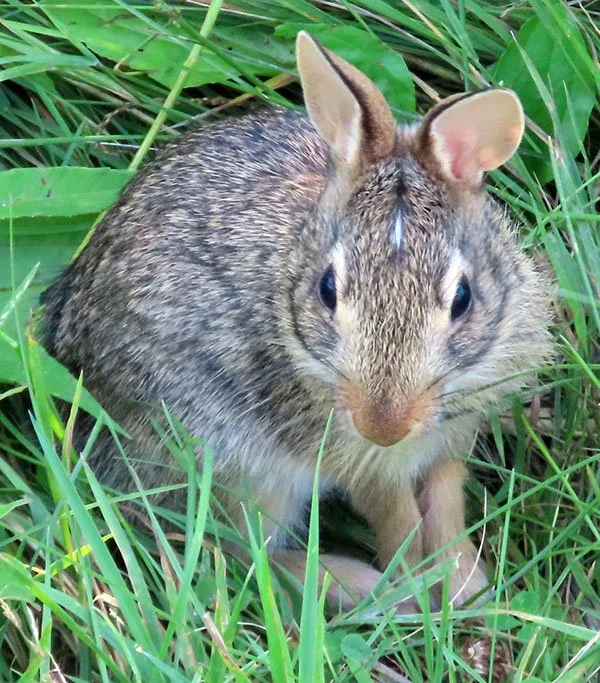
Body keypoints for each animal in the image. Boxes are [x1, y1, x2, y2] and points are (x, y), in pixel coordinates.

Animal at [39, 31, 553, 611]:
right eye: (327, 289)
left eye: (462, 299)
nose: (383, 425)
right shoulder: (352, 456)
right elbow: (395, 519)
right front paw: (413, 590)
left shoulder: (449, 438)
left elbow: (445, 504)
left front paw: (467, 587)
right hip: (230, 464)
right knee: (237, 554)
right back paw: (354, 583)